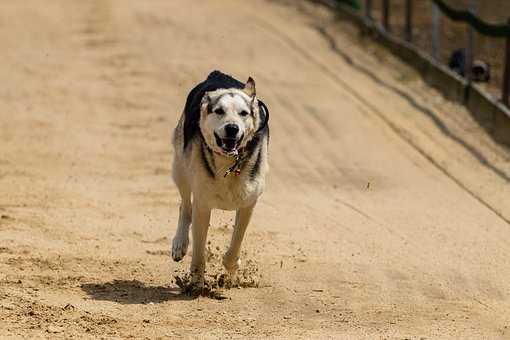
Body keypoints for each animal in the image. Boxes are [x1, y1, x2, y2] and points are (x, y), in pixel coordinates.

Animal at [170, 69, 268, 290]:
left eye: (243, 113)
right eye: (219, 111)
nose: (232, 128)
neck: (229, 162)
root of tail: (218, 74)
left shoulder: (248, 204)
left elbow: (236, 241)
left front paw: (230, 271)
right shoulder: (203, 205)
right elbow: (199, 251)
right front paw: (196, 284)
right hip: (180, 169)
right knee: (185, 206)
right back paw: (179, 244)